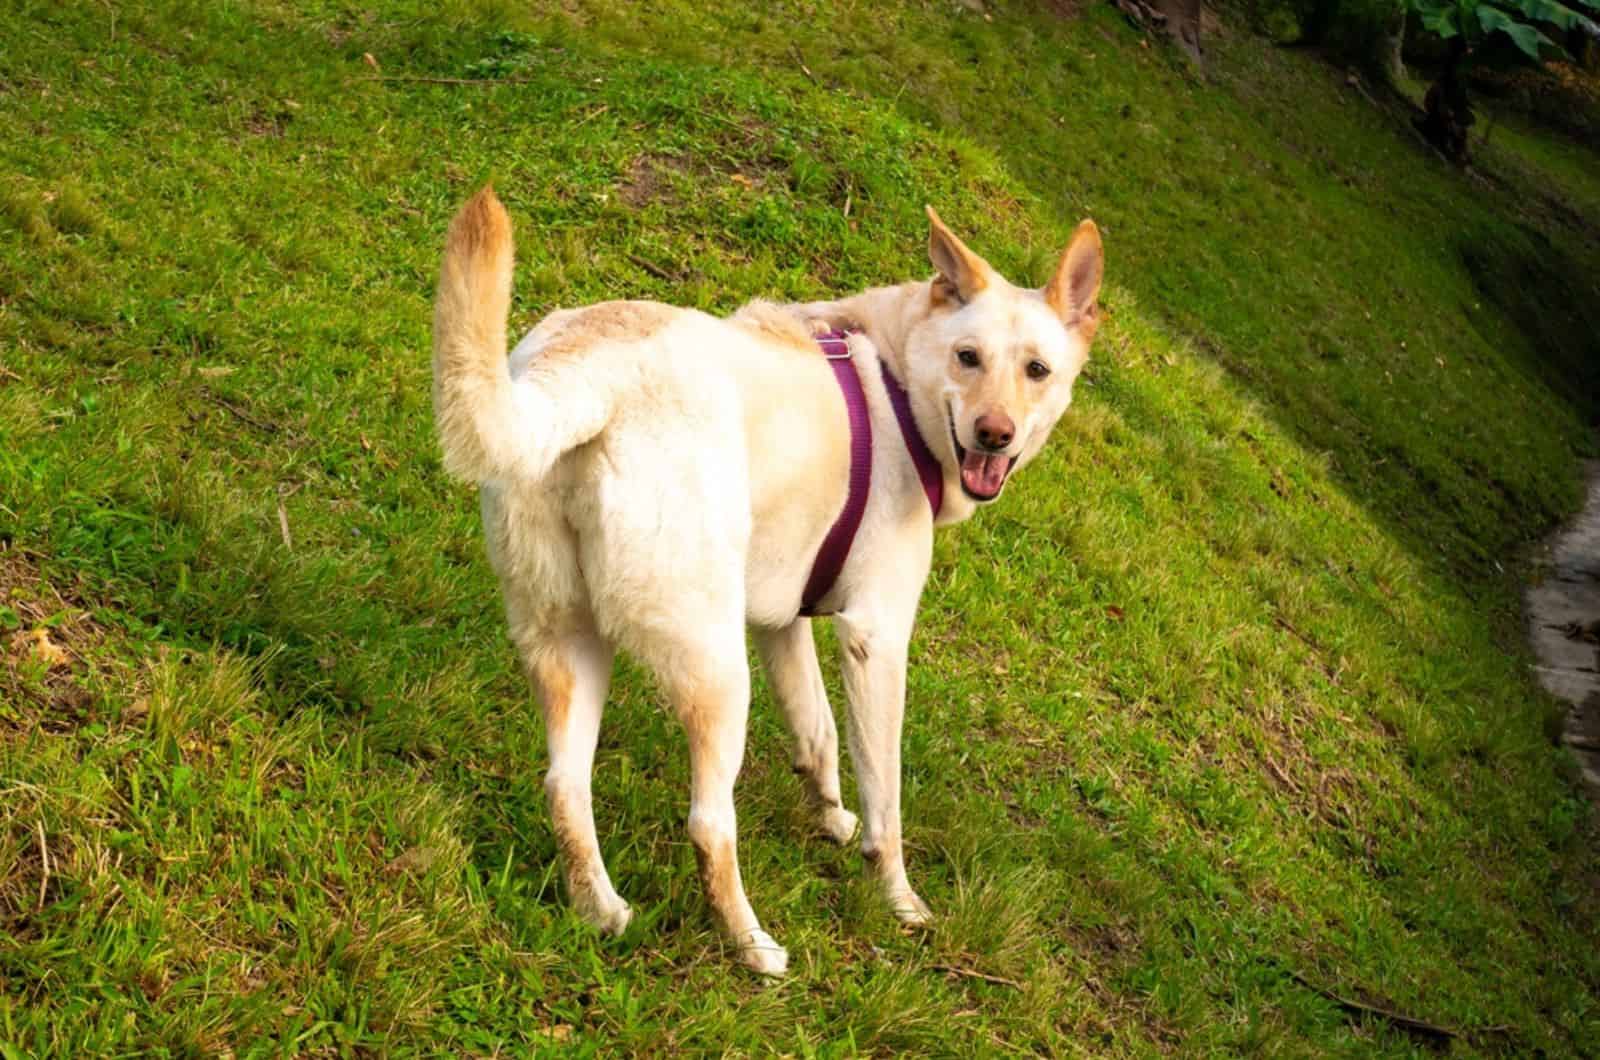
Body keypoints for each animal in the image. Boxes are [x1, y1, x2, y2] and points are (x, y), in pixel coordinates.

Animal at [428, 186, 1100, 973]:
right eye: (969, 358)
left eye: (1036, 371)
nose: (996, 434)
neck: (896, 379)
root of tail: (584, 376)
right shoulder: (875, 641)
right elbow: (886, 793)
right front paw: (898, 896)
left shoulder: (781, 624)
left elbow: (818, 732)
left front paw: (830, 814)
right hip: (719, 674)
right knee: (708, 824)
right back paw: (753, 947)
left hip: (570, 640)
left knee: (565, 786)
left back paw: (600, 909)